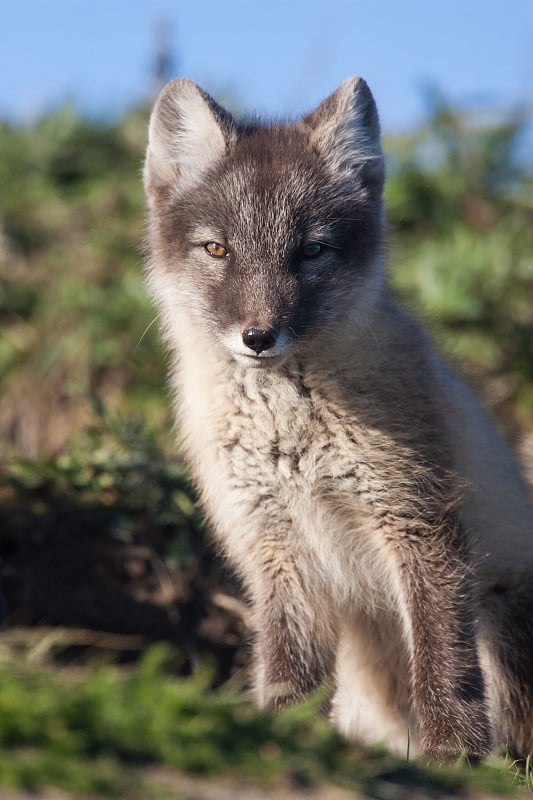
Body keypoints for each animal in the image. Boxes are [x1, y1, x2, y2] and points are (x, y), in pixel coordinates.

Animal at [141, 78, 532, 760]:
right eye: (217, 248)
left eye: (312, 251)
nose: (259, 337)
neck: (289, 435)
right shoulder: (277, 549)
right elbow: (288, 675)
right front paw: (279, 740)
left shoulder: (420, 522)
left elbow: (443, 663)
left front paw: (452, 758)